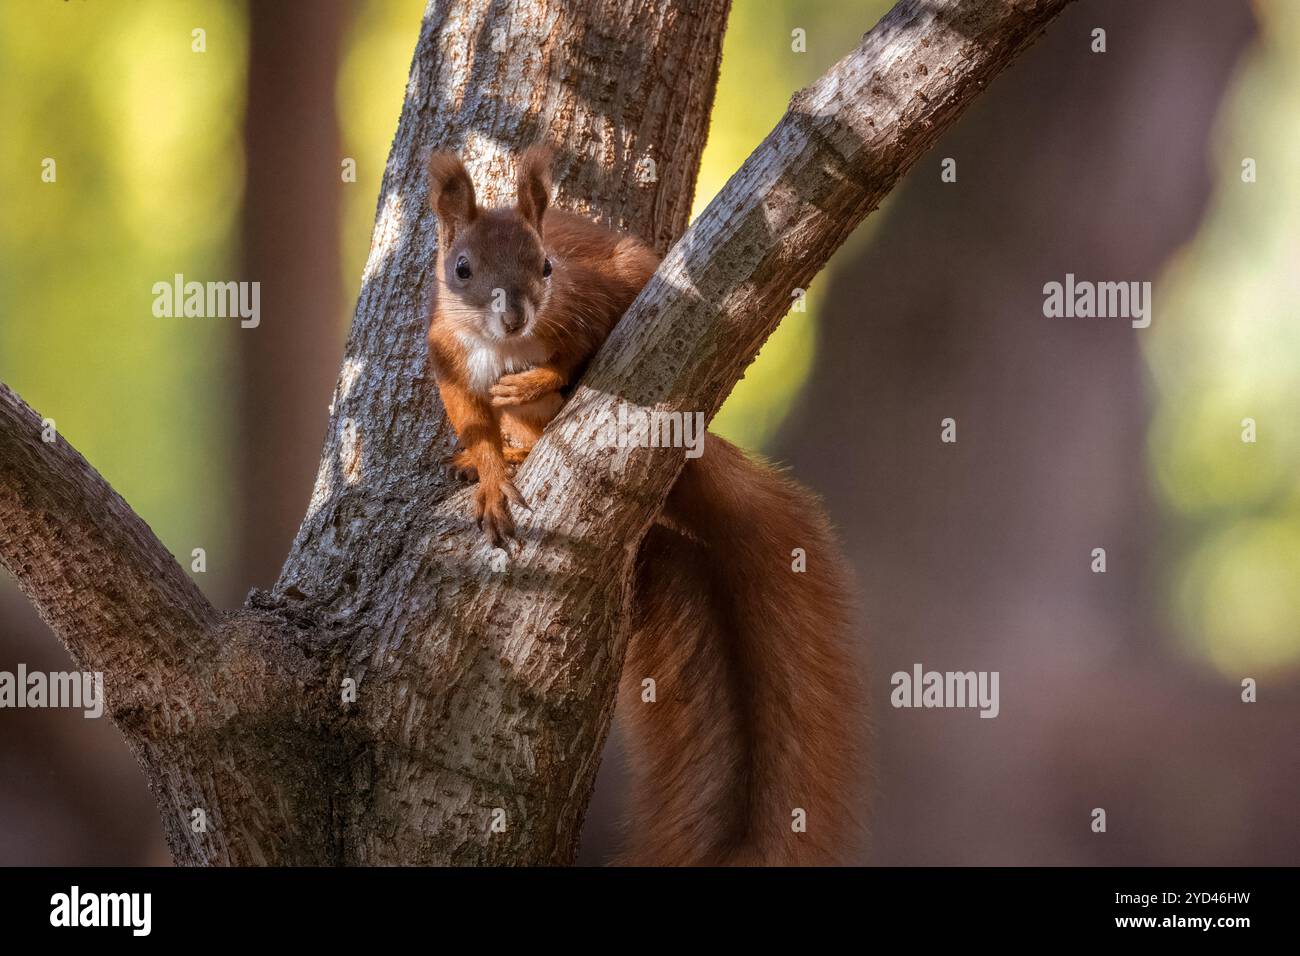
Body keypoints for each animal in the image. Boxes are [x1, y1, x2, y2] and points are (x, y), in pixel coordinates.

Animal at [426, 146, 865, 865]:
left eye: (545, 265)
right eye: (461, 269)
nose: (515, 315)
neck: (506, 346)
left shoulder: (590, 299)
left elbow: (582, 348)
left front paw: (539, 378)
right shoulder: (446, 354)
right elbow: (470, 418)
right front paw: (488, 473)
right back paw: (512, 451)